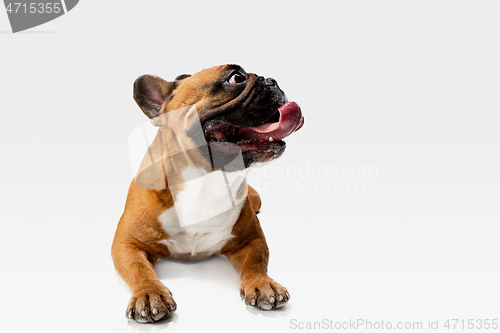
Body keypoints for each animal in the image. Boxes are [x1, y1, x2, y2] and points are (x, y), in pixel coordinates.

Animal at [111, 64, 302, 322]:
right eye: (236, 78)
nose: (272, 80)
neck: (207, 182)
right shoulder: (127, 243)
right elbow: (138, 269)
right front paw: (150, 293)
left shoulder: (251, 239)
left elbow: (257, 261)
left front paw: (263, 284)